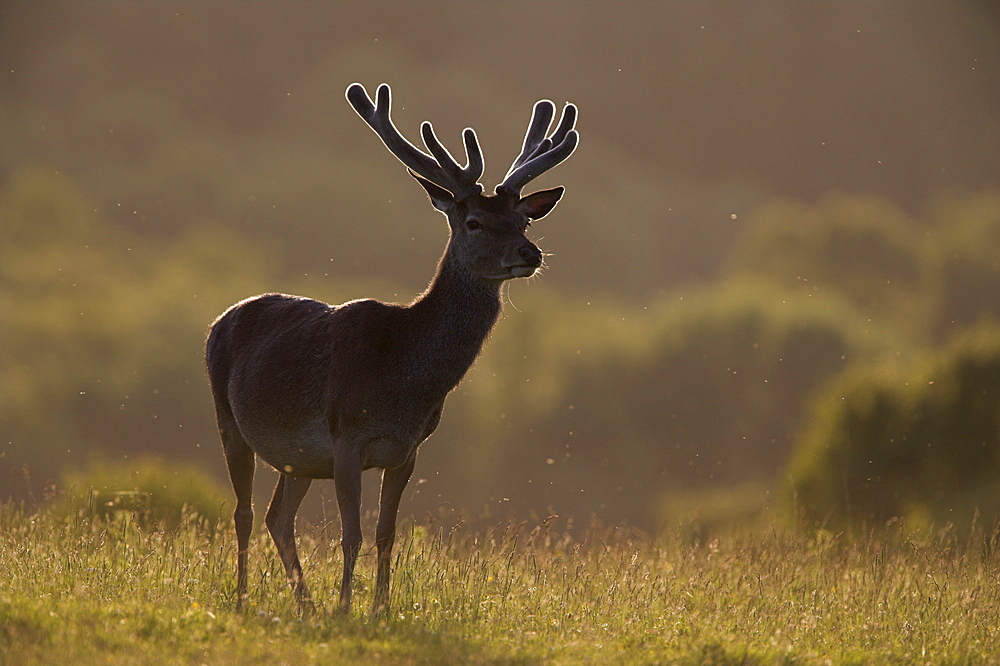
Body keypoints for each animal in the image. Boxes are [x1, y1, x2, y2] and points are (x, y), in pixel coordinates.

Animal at [203, 83, 580, 612]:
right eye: (474, 222)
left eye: (523, 220)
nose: (531, 252)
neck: (403, 381)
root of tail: (220, 320)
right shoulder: (346, 437)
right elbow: (351, 535)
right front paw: (345, 609)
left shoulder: (409, 449)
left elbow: (386, 534)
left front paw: (379, 608)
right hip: (229, 419)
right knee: (244, 513)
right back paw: (242, 600)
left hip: (298, 457)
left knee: (278, 517)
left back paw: (305, 605)